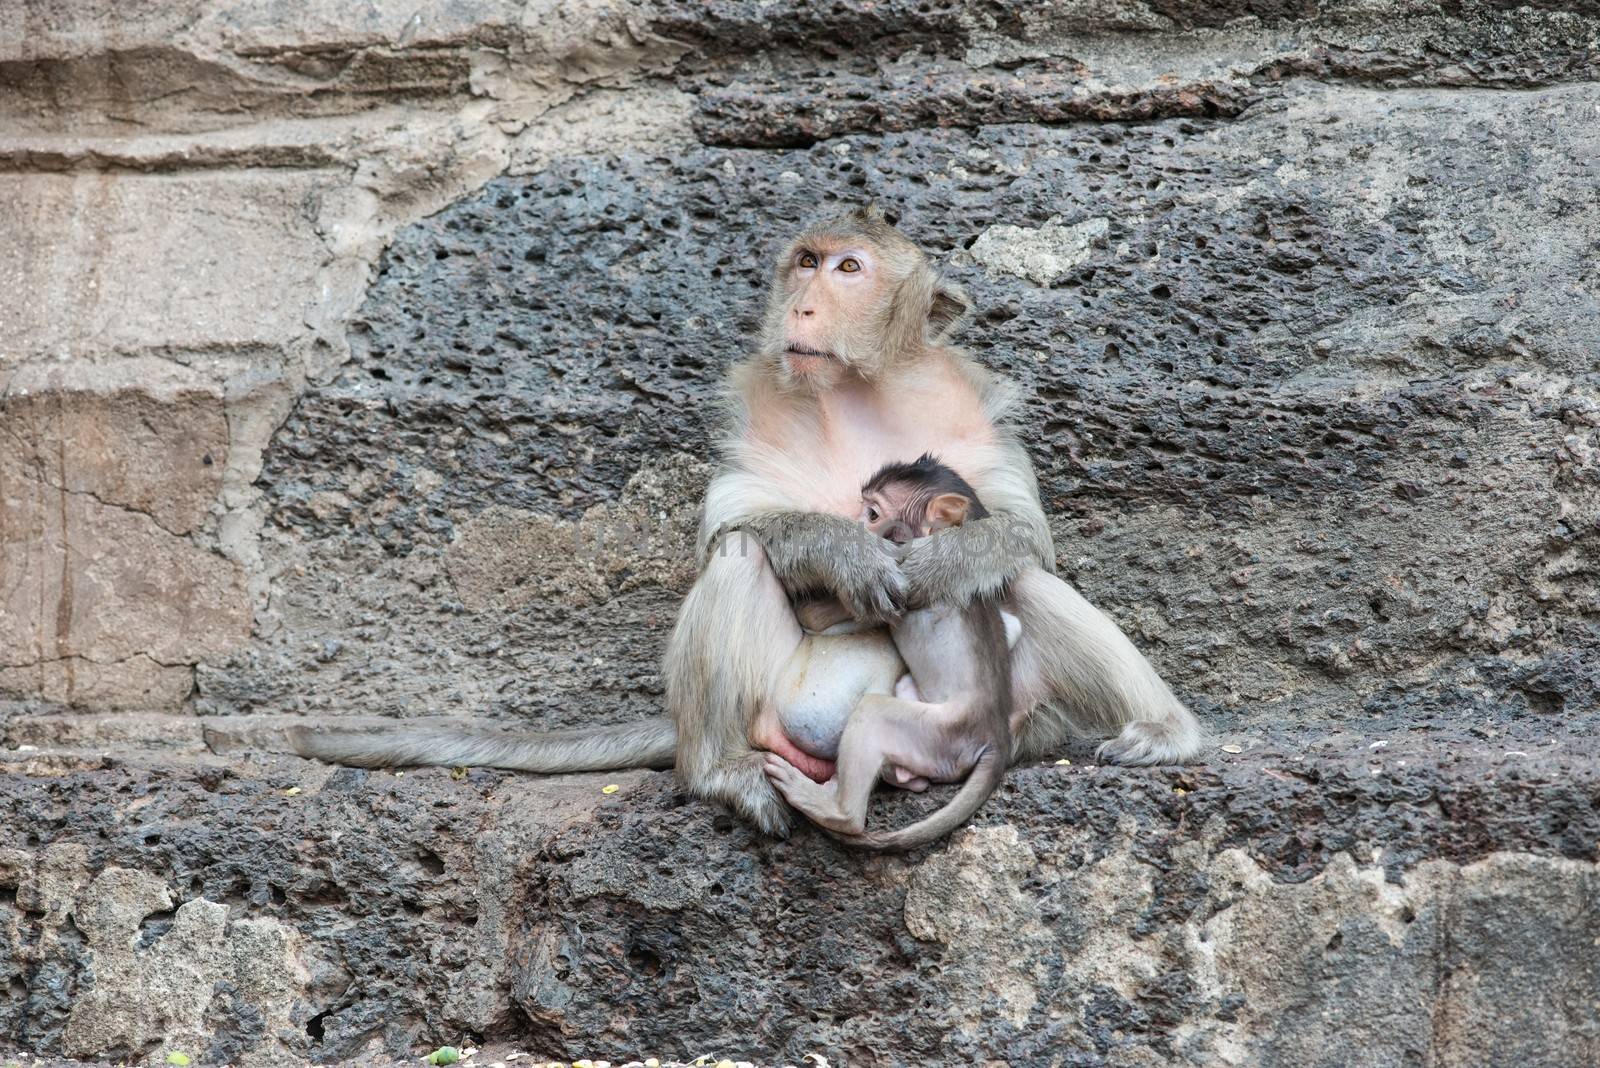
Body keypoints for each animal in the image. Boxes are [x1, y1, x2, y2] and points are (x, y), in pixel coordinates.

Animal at [761, 457, 1011, 850]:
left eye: (873, 513)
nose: (852, 524)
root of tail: (997, 738)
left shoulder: (902, 568)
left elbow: (813, 617)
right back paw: (903, 778)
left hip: (941, 734)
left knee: (873, 715)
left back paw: (832, 808)